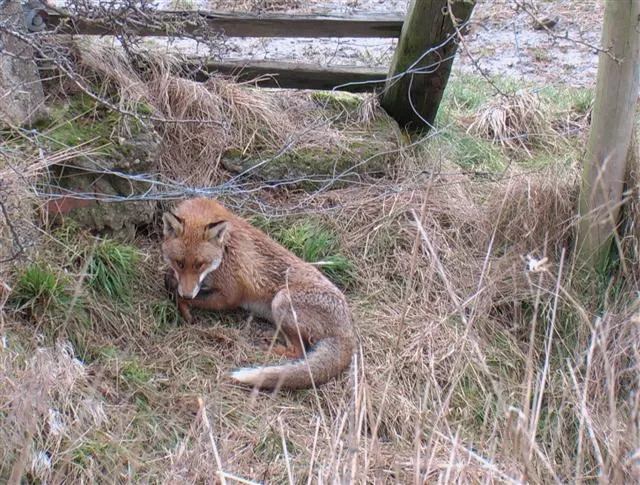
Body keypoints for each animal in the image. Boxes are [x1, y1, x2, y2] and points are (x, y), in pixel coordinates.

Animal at [160, 197, 356, 390]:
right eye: (179, 263)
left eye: (200, 264)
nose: (188, 294)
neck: (224, 249)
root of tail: (348, 331)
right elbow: (170, 281)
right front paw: (179, 296)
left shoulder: (229, 297)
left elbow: (182, 295)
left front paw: (184, 307)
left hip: (280, 300)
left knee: (298, 351)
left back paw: (266, 347)